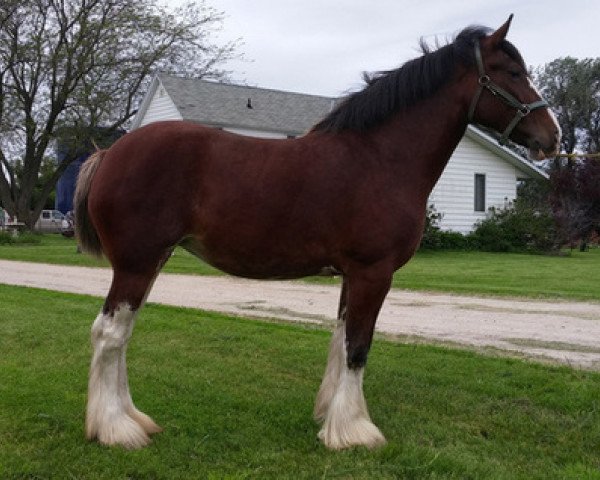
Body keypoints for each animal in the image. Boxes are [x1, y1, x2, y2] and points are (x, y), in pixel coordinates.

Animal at [74, 15, 556, 450]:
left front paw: (331, 418)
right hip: (136, 263)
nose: (552, 136)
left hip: (153, 260)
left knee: (121, 335)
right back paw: (116, 430)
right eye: (513, 73)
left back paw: (129, 419)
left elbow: (341, 343)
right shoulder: (373, 272)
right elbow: (358, 348)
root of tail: (110, 153)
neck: (380, 157)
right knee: (109, 334)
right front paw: (354, 434)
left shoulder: (353, 275)